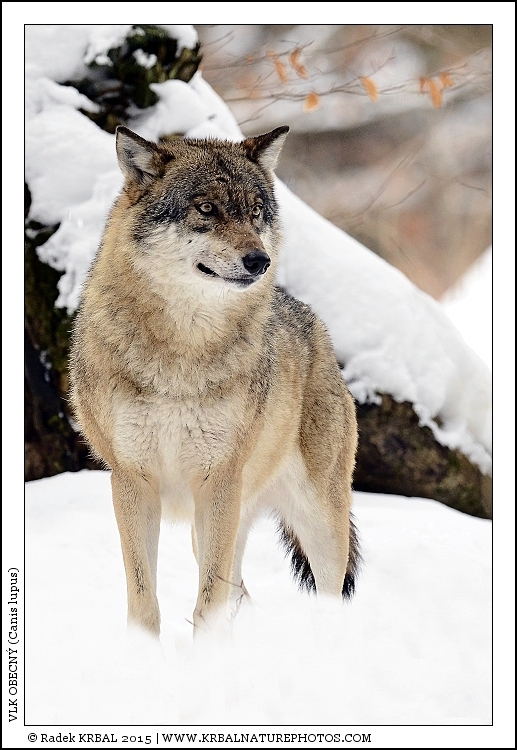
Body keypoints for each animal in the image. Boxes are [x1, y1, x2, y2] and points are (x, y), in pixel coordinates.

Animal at [69, 124, 359, 635]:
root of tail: (316, 326)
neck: (180, 354)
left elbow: (208, 600)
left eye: (256, 212)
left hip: (316, 521)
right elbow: (144, 598)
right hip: (217, 522)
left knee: (325, 595)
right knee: (241, 591)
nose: (259, 261)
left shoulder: (218, 479)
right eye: (206, 209)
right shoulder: (132, 480)